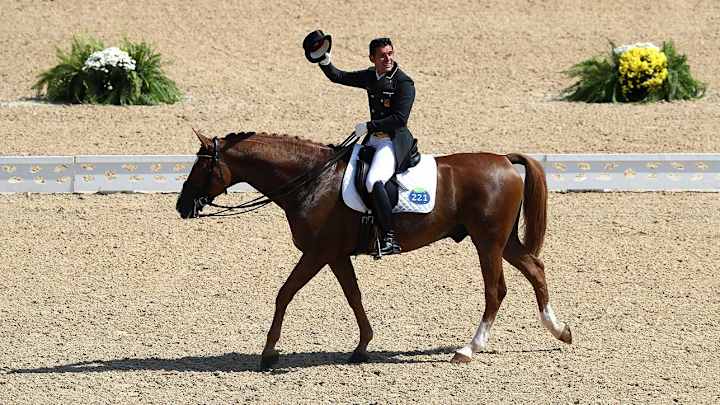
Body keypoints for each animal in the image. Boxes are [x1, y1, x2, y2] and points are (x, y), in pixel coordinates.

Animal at [176, 130, 572, 368]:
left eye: (200, 166)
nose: (181, 206)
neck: (312, 180)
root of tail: (504, 160)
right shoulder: (335, 256)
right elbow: (354, 296)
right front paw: (362, 346)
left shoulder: (317, 254)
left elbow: (284, 293)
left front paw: (269, 353)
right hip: (503, 241)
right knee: (535, 269)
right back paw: (560, 331)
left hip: (487, 241)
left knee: (496, 290)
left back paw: (468, 349)